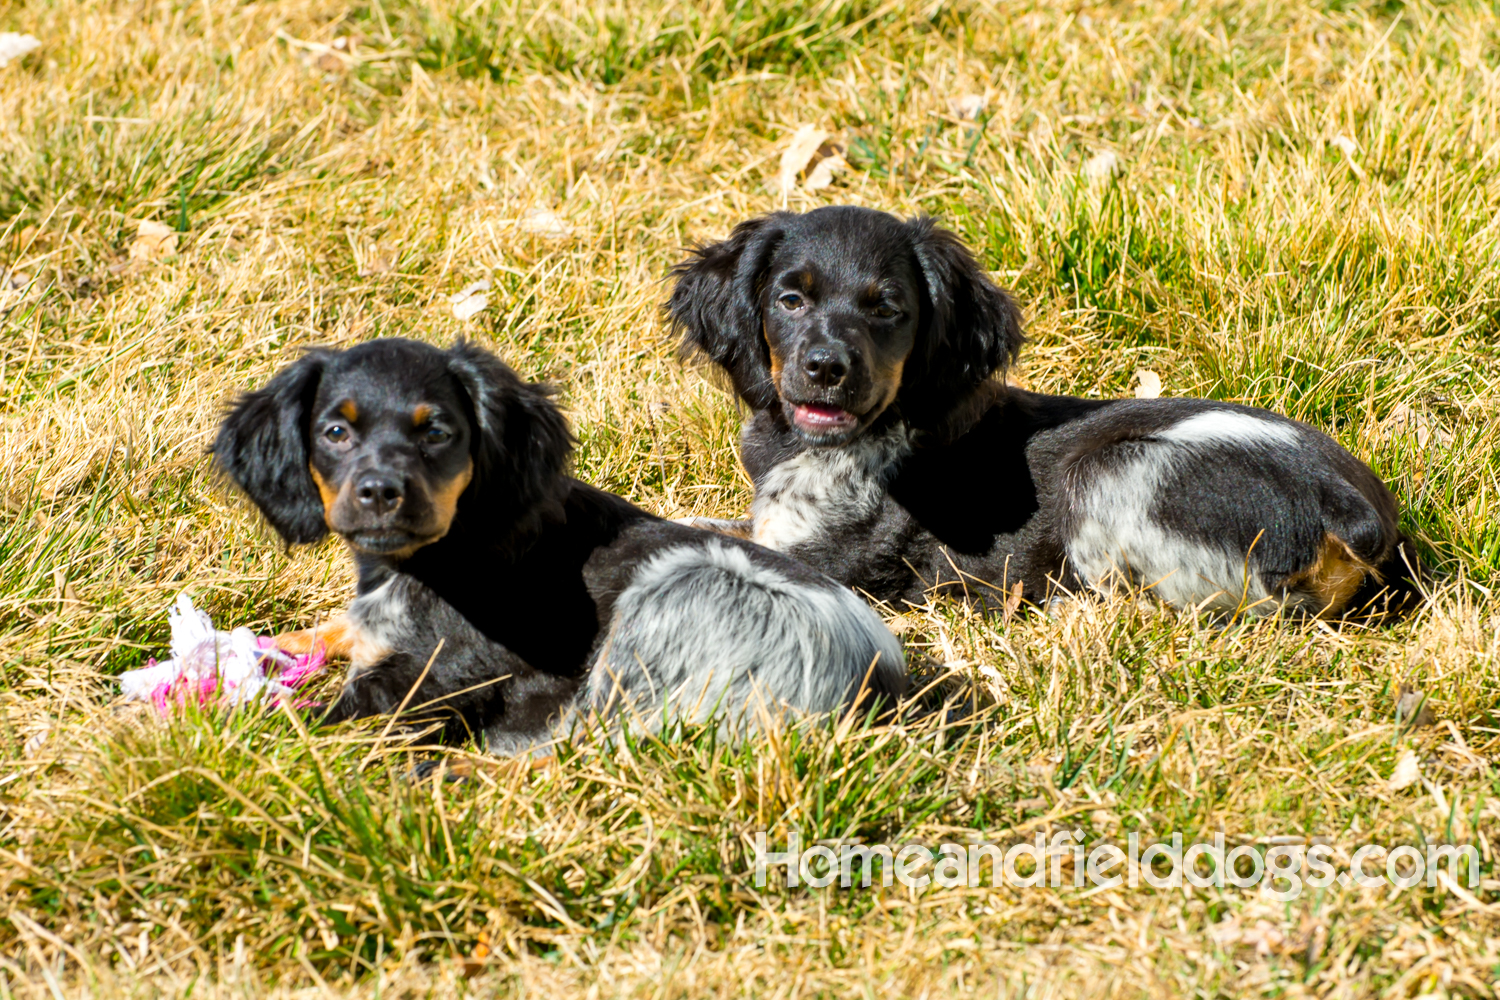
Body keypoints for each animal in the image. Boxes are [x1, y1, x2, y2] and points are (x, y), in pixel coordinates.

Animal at [211, 335, 900, 749]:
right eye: (335, 432)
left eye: (438, 432)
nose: (380, 492)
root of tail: (883, 688)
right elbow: (324, 630)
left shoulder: (435, 678)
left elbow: (304, 722)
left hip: (673, 597)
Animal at [669, 205, 1416, 617]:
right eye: (790, 300)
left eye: (888, 309)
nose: (826, 368)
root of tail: (1358, 508)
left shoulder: (833, 562)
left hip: (1111, 470)